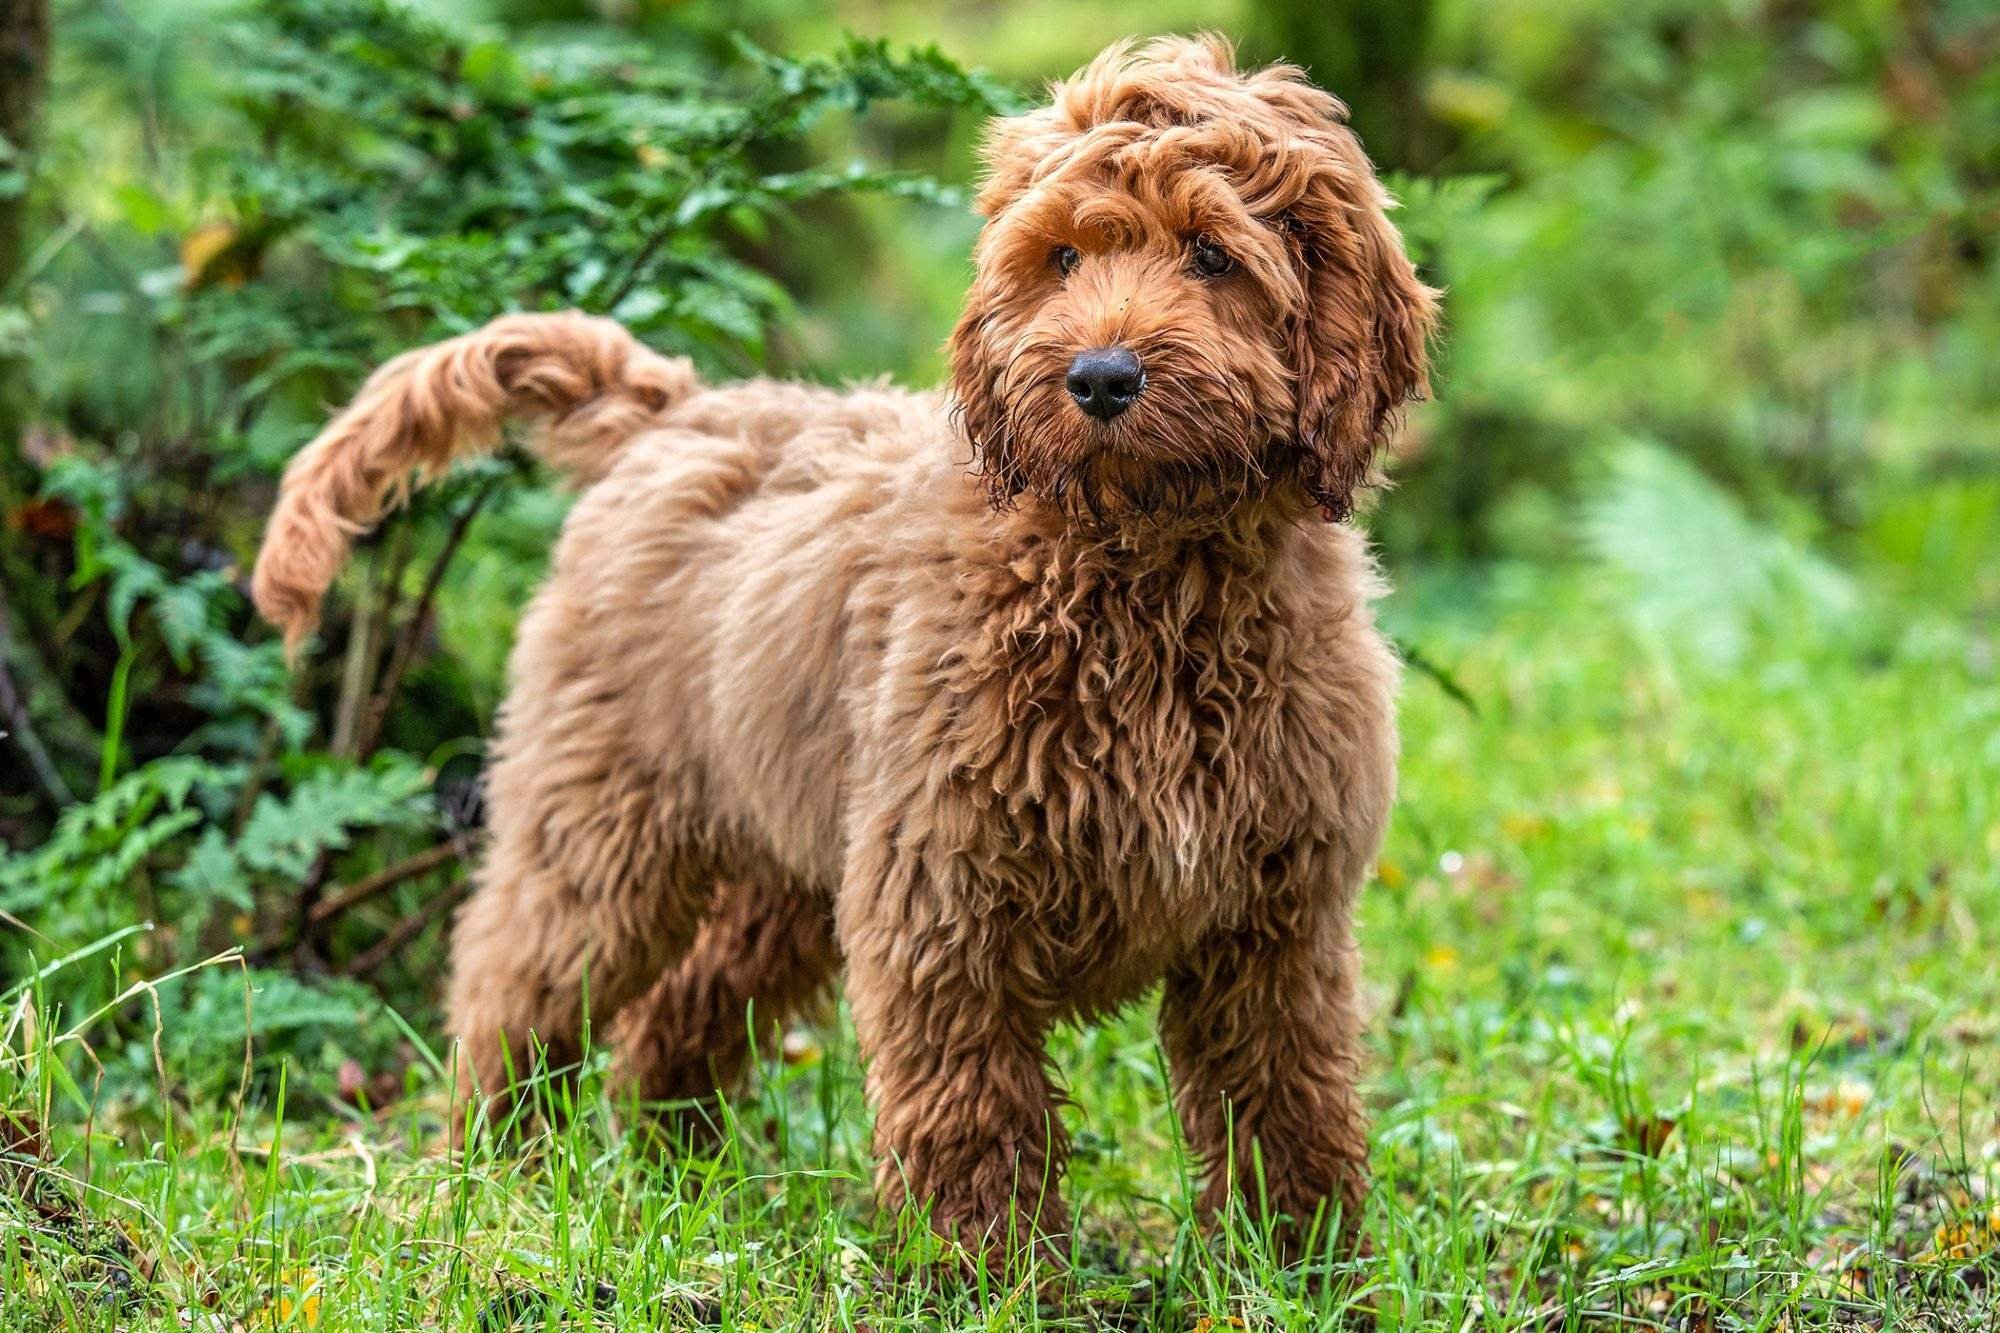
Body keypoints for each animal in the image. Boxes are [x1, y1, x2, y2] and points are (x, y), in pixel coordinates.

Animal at [254, 36, 1440, 1264]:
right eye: (1061, 257)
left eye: (1212, 254)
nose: (1100, 379)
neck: (1142, 575)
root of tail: (674, 410)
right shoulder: (942, 891)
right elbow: (973, 1104)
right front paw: (985, 1270)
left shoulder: (1277, 921)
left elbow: (1287, 1094)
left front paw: (1300, 1259)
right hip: (603, 820)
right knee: (515, 982)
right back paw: (496, 1172)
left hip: (783, 853)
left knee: (678, 1014)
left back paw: (683, 1176)